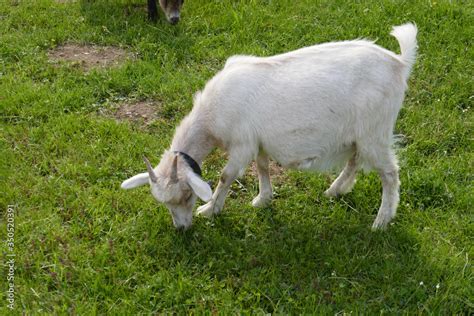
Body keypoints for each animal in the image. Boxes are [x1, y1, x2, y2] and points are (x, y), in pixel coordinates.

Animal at [120, 22, 416, 230]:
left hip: (375, 131)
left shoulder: (242, 143)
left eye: (185, 196)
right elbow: (262, 166)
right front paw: (263, 199)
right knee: (355, 160)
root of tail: (400, 63)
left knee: (390, 174)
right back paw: (334, 191)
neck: (211, 117)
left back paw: (381, 221)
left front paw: (210, 210)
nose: (181, 228)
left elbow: (226, 176)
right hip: (360, 134)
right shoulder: (257, 141)